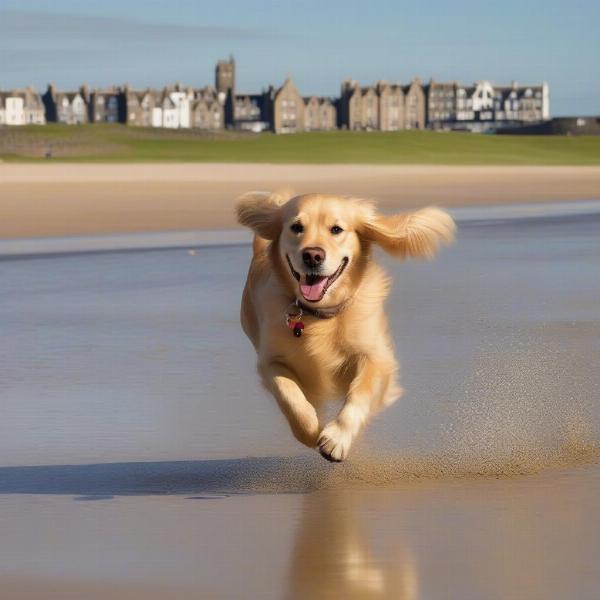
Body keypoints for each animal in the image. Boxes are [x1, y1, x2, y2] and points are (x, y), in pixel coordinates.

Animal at [237, 193, 452, 464]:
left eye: (336, 229)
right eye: (296, 227)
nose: (313, 255)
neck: (320, 316)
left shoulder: (376, 356)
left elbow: (360, 392)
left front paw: (336, 439)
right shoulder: (270, 362)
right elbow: (290, 396)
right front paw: (311, 431)